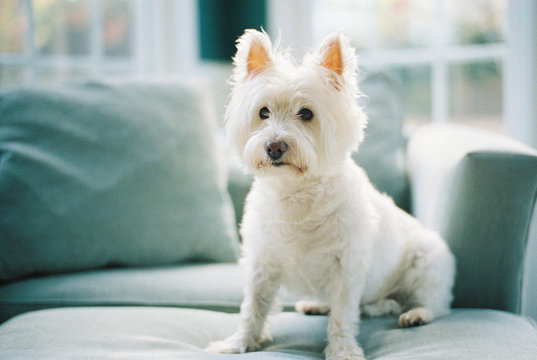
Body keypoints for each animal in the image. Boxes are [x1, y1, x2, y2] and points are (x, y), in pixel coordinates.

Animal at [207, 28, 454, 360]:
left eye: (306, 113)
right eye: (263, 112)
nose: (274, 147)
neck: (296, 193)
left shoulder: (346, 267)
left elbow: (343, 315)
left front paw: (343, 350)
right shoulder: (263, 263)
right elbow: (253, 308)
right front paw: (237, 343)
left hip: (427, 260)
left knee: (435, 303)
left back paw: (415, 314)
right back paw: (323, 304)